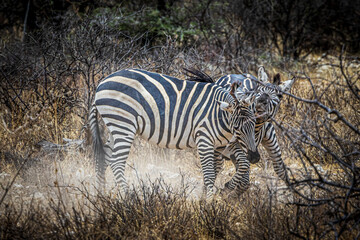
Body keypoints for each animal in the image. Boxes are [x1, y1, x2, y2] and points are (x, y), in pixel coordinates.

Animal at [184, 66, 294, 194]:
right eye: (259, 89)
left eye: (280, 95)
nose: (261, 101)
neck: (255, 128)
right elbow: (243, 171)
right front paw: (227, 189)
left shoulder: (255, 146)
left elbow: (248, 176)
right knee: (217, 166)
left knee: (277, 167)